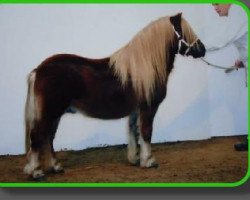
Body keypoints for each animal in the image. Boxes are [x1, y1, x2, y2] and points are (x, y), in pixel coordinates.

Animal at [23, 13, 205, 180]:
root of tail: (39, 70)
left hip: (55, 114)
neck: (144, 67)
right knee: (37, 136)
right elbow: (146, 132)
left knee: (48, 137)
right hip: (50, 112)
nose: (202, 49)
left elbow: (134, 131)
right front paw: (148, 161)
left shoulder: (135, 110)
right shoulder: (148, 108)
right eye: (184, 31)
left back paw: (56, 166)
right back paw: (36, 172)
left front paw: (134, 159)